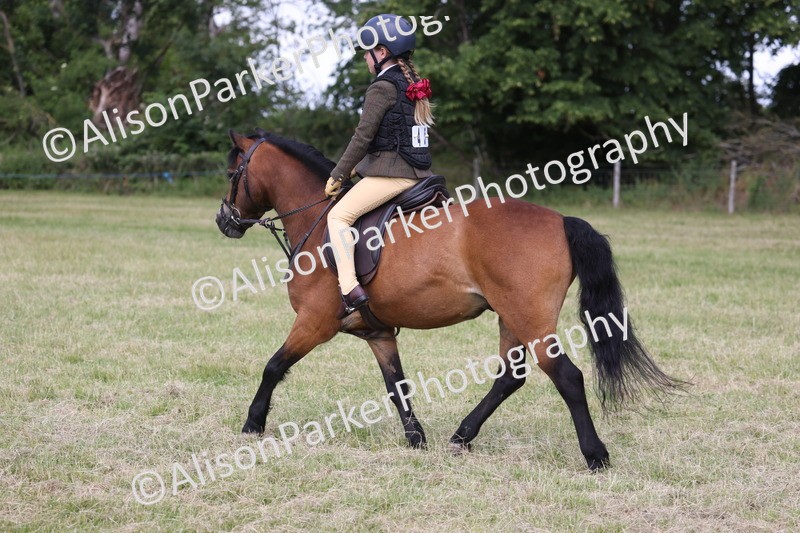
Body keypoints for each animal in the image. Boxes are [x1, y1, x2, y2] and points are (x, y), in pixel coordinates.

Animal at [215, 129, 683, 470]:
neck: (318, 219)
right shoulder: (378, 334)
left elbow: (273, 366)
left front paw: (253, 424)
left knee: (566, 377)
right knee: (509, 379)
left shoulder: (315, 323)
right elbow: (397, 386)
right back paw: (461, 436)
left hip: (530, 321)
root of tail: (560, 221)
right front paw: (415, 439)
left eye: (232, 172)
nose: (224, 221)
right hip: (511, 318)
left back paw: (595, 455)